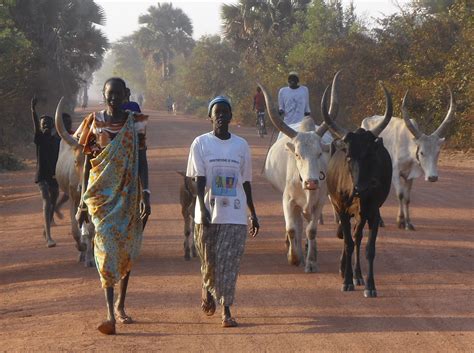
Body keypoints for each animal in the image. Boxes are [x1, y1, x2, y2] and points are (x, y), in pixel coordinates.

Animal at [260, 71, 336, 272]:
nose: (311, 182)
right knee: (297, 225)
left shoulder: (319, 201)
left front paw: (311, 262)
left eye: (320, 153)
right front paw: (294, 257)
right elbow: (292, 229)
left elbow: (312, 230)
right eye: (297, 154)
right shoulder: (287, 200)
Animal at [362, 88, 456, 228]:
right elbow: (400, 195)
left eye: (438, 152)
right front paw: (400, 220)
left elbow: (407, 198)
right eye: (422, 152)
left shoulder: (409, 176)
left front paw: (408, 223)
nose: (433, 177)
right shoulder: (395, 173)